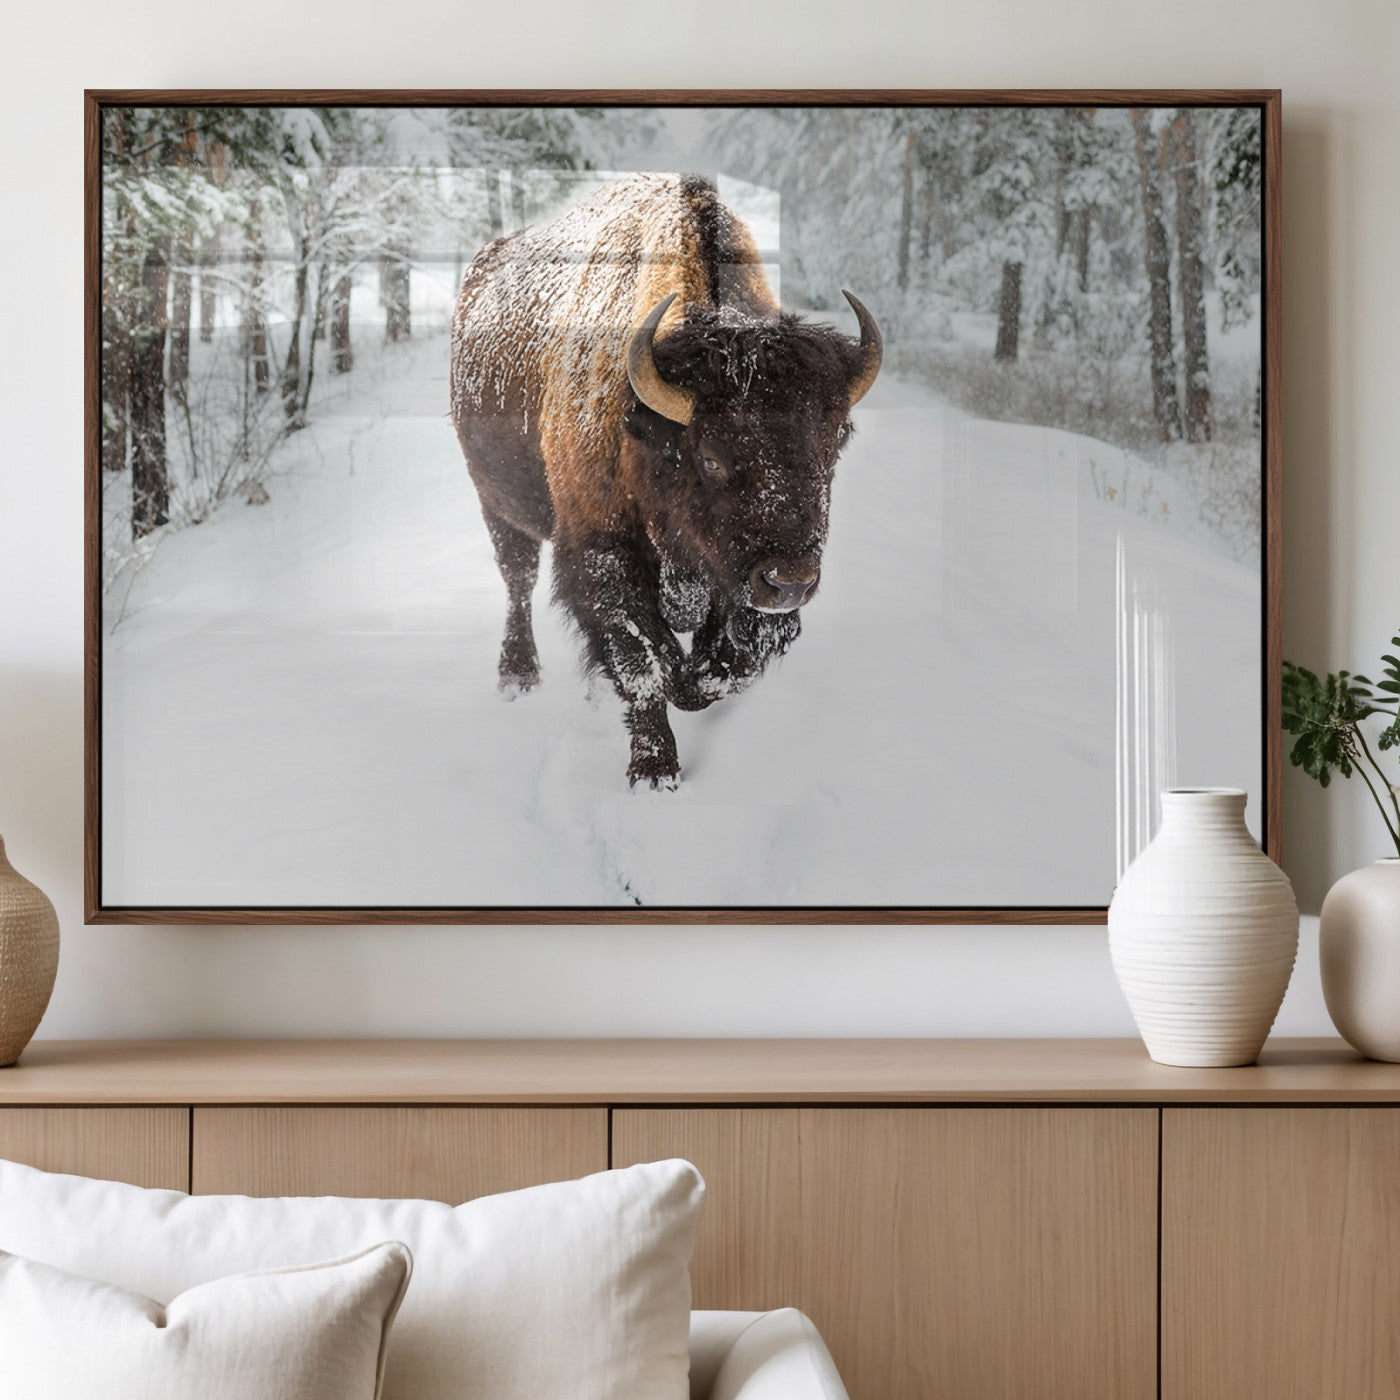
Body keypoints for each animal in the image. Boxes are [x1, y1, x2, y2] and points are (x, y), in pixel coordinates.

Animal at [450, 172, 881, 788]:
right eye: (711, 457)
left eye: (835, 442)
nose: (790, 582)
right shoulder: (603, 554)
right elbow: (643, 663)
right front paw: (654, 770)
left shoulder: (732, 581)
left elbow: (728, 666)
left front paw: (692, 683)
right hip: (497, 503)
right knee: (518, 578)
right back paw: (517, 675)